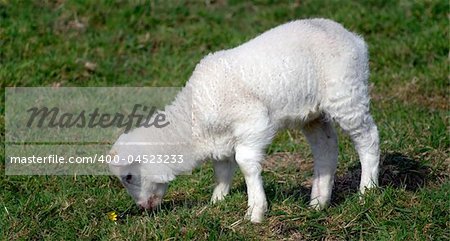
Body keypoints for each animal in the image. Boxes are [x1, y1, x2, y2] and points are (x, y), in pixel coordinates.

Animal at [109, 17, 380, 223]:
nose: (143, 208)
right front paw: (217, 201)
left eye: (129, 176)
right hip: (313, 112)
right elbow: (222, 169)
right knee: (326, 147)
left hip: (346, 92)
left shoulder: (254, 123)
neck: (193, 121)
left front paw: (255, 212)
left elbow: (246, 163)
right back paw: (318, 202)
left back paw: (367, 191)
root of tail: (352, 37)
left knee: (368, 138)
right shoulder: (218, 139)